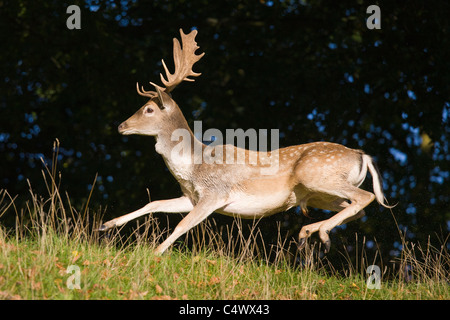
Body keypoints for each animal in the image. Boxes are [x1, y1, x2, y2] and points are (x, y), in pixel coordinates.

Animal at [99, 28, 394, 254]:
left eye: (148, 109)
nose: (121, 125)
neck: (193, 166)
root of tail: (362, 155)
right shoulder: (192, 197)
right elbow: (155, 203)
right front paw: (108, 224)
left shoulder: (215, 193)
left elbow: (182, 225)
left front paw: (155, 252)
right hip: (320, 194)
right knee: (357, 209)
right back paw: (310, 232)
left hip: (318, 176)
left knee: (366, 197)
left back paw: (316, 232)